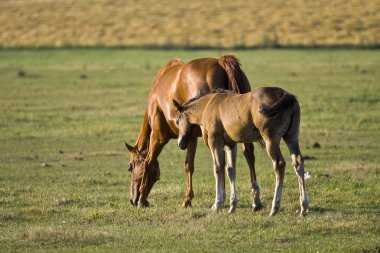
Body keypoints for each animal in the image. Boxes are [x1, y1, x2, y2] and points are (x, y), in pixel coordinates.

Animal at [124, 55, 264, 210]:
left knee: (220, 161)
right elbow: (189, 165)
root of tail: (220, 61)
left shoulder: (158, 137)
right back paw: (255, 200)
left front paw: (142, 198)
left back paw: (221, 199)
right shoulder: (190, 138)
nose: (132, 200)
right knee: (249, 154)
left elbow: (149, 161)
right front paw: (187, 199)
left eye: (130, 167)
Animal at [172, 87, 308, 215]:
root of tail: (286, 95)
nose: (180, 143)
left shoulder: (215, 142)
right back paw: (303, 207)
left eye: (178, 121)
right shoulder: (231, 145)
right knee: (298, 163)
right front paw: (232, 206)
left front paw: (217, 204)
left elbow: (218, 168)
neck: (208, 105)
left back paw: (274, 208)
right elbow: (230, 170)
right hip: (291, 137)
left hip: (271, 140)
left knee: (279, 165)